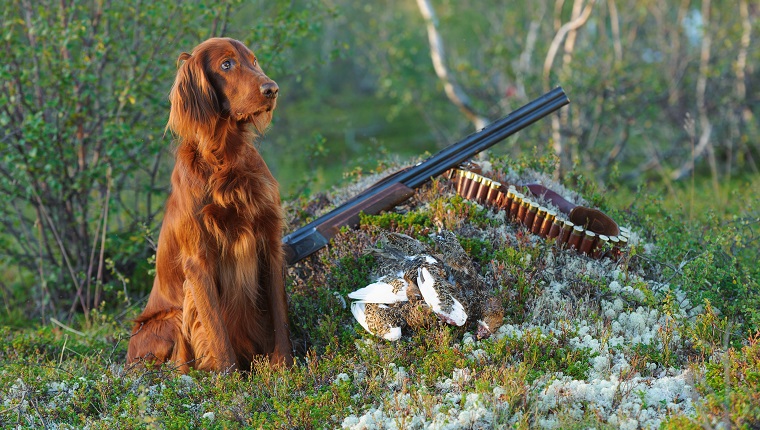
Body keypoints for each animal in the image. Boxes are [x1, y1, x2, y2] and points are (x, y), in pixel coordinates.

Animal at [126, 37, 292, 372]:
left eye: (254, 60)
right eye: (226, 64)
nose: (272, 89)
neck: (225, 158)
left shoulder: (269, 241)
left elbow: (279, 313)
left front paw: (285, 366)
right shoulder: (198, 260)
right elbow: (216, 329)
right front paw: (229, 379)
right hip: (170, 319)